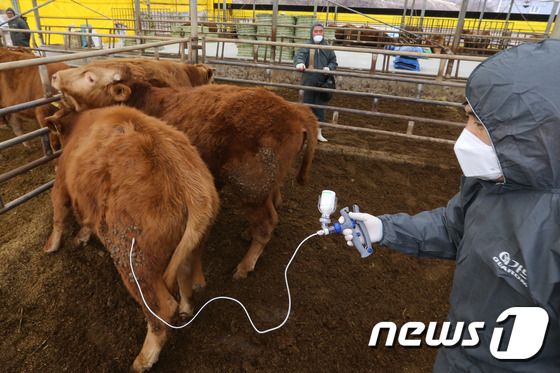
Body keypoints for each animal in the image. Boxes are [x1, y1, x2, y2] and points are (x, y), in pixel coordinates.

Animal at [42, 105, 219, 372]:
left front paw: (51, 245)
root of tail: (193, 188)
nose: (51, 159)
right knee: (186, 275)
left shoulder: (62, 182)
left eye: (54, 142)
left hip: (134, 259)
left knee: (161, 310)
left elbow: (59, 214)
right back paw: (187, 309)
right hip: (189, 246)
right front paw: (82, 236)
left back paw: (143, 360)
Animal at [52, 67, 320, 278]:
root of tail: (294, 111)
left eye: (90, 77)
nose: (55, 76)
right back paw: (247, 233)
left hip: (252, 188)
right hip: (264, 188)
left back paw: (244, 266)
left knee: (267, 224)